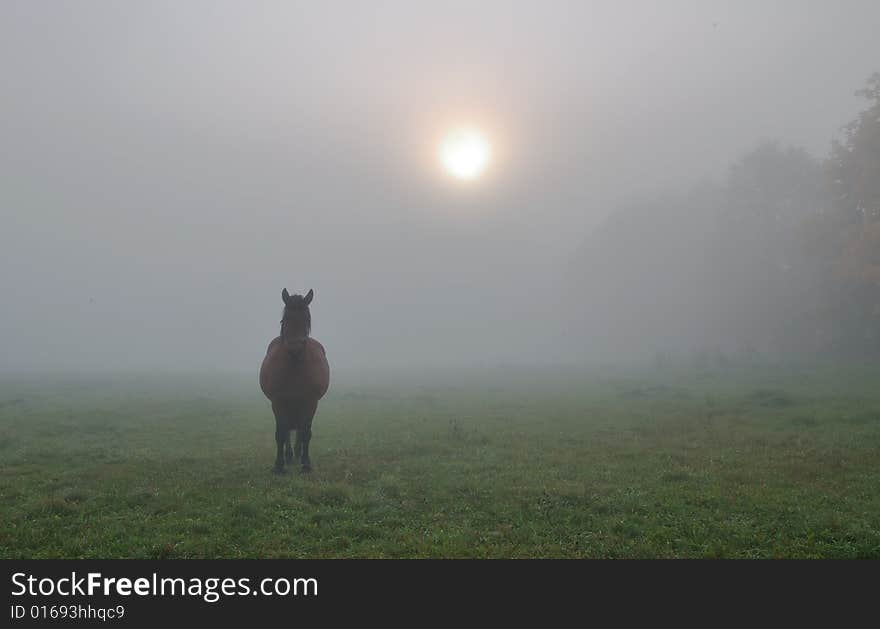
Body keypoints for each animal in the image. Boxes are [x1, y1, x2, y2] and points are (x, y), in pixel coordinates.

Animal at [262, 288, 334, 472]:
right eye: (285, 319)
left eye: (307, 320)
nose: (295, 348)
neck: (294, 367)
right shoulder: (278, 402)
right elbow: (281, 433)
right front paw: (279, 466)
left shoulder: (310, 402)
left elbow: (306, 433)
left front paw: (306, 464)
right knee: (287, 430)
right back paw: (288, 455)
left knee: (300, 430)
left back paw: (297, 453)